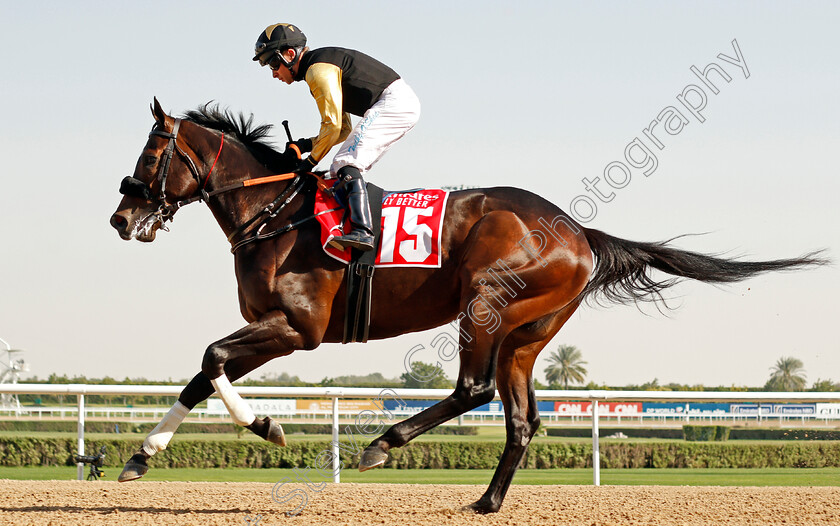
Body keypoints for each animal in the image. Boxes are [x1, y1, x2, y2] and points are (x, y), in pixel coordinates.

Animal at [110, 99, 820, 516]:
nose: (120, 217)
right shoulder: (275, 327)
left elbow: (211, 358)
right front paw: (140, 457)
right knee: (521, 419)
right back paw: (486, 501)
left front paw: (268, 426)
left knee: (474, 389)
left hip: (485, 304)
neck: (275, 215)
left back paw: (382, 445)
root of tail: (578, 231)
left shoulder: (296, 328)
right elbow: (201, 374)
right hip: (528, 334)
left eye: (151, 153)